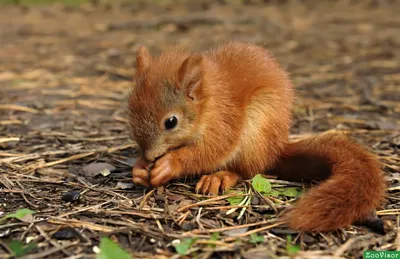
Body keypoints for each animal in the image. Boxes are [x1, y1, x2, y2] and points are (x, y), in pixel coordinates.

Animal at [126, 41, 386, 233]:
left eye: (171, 122)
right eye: (130, 110)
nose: (149, 156)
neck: (208, 102)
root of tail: (277, 149)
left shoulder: (225, 122)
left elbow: (211, 151)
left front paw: (169, 164)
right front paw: (139, 168)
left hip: (256, 129)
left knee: (248, 170)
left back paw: (220, 177)